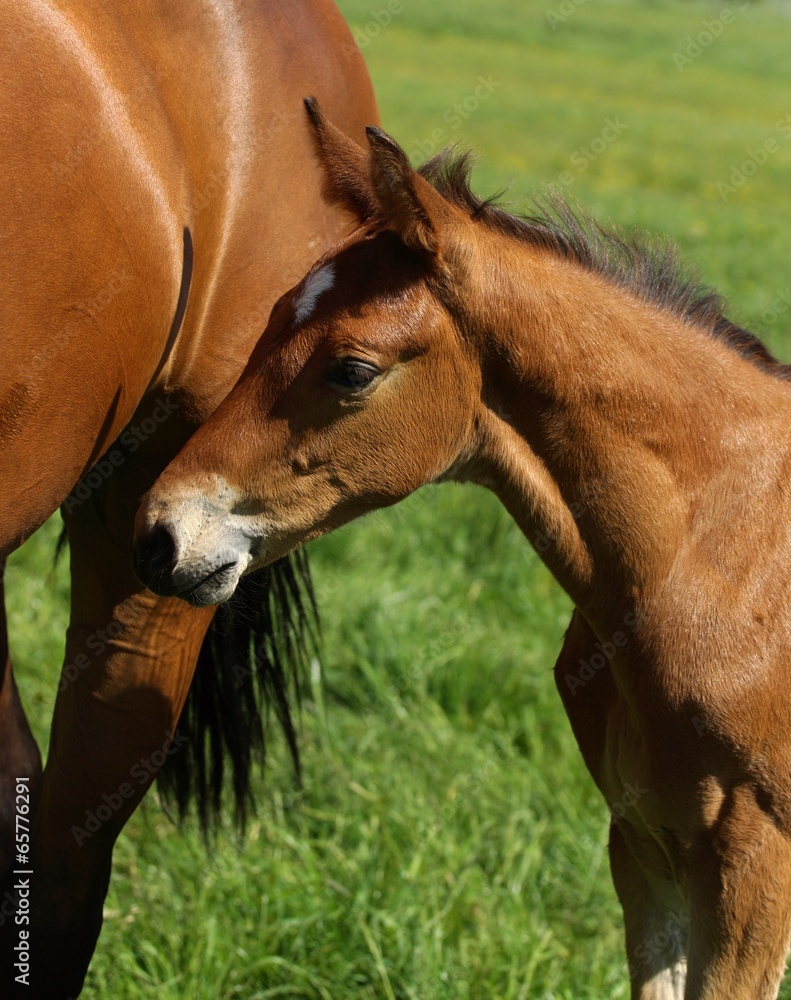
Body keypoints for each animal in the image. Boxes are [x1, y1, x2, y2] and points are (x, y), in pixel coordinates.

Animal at [133, 100, 791, 999]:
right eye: (266, 320)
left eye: (350, 369)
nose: (160, 534)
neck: (728, 560)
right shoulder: (642, 843)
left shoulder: (753, 867)